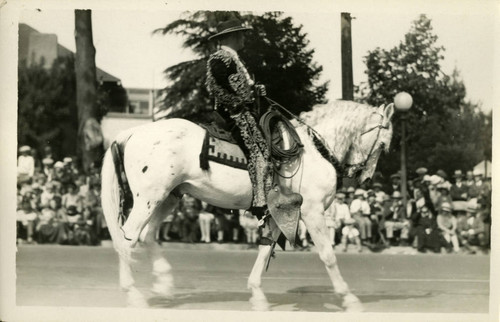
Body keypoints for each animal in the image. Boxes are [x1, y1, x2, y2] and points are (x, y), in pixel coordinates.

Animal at [99, 100, 392, 312]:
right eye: (384, 145)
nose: (365, 178)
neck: (313, 150)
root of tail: (132, 132)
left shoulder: (282, 212)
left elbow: (264, 249)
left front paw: (257, 294)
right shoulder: (312, 211)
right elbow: (328, 255)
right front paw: (349, 297)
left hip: (168, 198)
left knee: (146, 236)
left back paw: (164, 285)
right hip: (149, 198)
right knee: (127, 239)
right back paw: (134, 294)